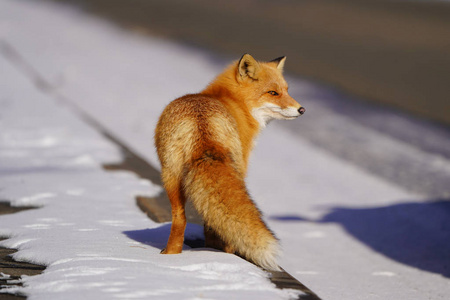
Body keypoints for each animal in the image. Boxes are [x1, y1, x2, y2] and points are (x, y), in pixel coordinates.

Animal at [155, 54, 306, 272]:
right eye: (273, 93)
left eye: (287, 90)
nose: (302, 109)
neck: (233, 103)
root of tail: (202, 128)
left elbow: (209, 221)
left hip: (170, 177)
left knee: (180, 218)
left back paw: (171, 256)